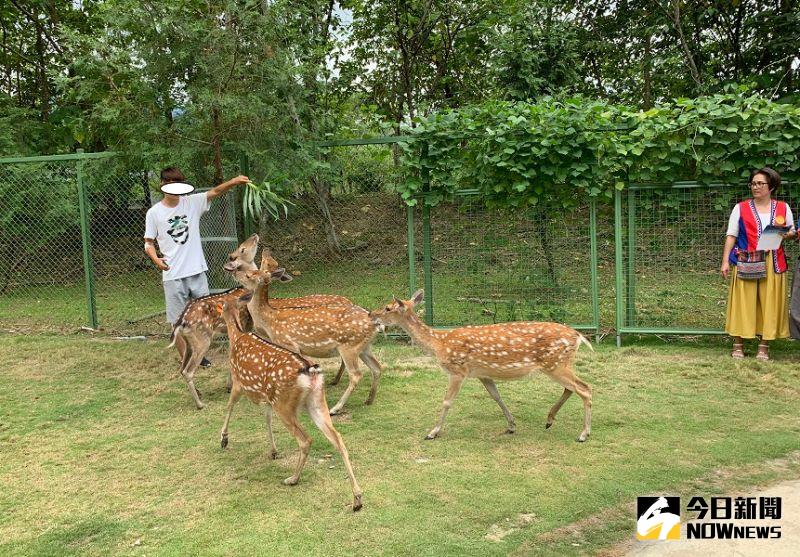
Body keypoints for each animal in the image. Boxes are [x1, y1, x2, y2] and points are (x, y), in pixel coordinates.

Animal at [169, 232, 260, 406]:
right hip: (202, 339)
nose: (254, 235)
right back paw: (200, 404)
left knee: (181, 368)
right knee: (188, 371)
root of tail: (181, 322)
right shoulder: (246, 323)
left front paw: (229, 386)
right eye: (242, 249)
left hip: (189, 342)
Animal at [214, 298, 360, 510]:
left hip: (284, 405)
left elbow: (229, 406)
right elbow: (267, 420)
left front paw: (223, 439)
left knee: (305, 439)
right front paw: (273, 451)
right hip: (315, 402)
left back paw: (292, 479)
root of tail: (311, 373)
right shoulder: (267, 398)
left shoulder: (238, 382)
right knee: (337, 438)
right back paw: (357, 498)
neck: (237, 336)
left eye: (221, 307)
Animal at [233, 253, 382, 412]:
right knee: (377, 367)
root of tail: (376, 324)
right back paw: (369, 400)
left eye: (249, 275)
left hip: (349, 347)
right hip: (364, 347)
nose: (234, 272)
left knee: (356, 375)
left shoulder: (289, 344)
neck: (269, 321)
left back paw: (336, 407)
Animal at [370, 288, 592, 440]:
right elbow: (496, 396)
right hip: (560, 364)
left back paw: (583, 434)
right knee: (573, 388)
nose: (371, 314)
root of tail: (579, 336)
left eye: (387, 307)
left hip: (556, 364)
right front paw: (511, 425)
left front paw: (432, 432)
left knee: (585, 388)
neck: (439, 343)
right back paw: (549, 420)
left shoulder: (458, 370)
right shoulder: (482, 374)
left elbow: (447, 401)